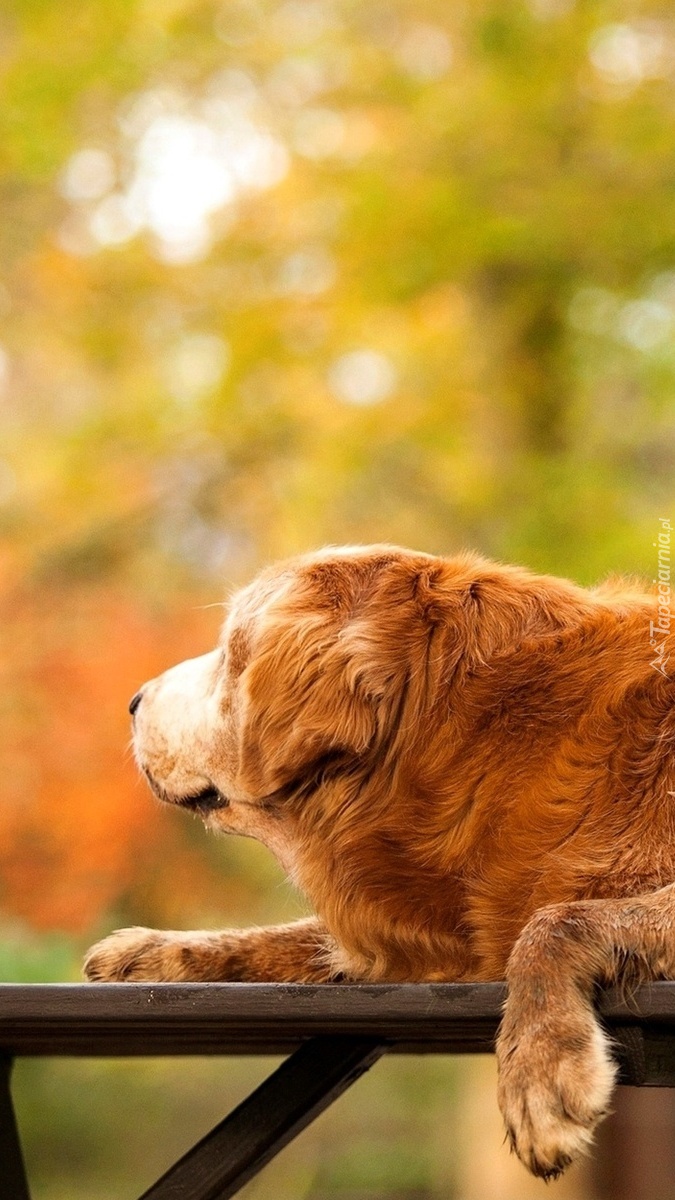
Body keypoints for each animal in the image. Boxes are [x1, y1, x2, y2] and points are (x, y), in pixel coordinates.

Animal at [85, 544, 672, 1180]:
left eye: (228, 653)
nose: (132, 701)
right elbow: (293, 937)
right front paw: (149, 949)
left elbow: (554, 923)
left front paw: (539, 1072)